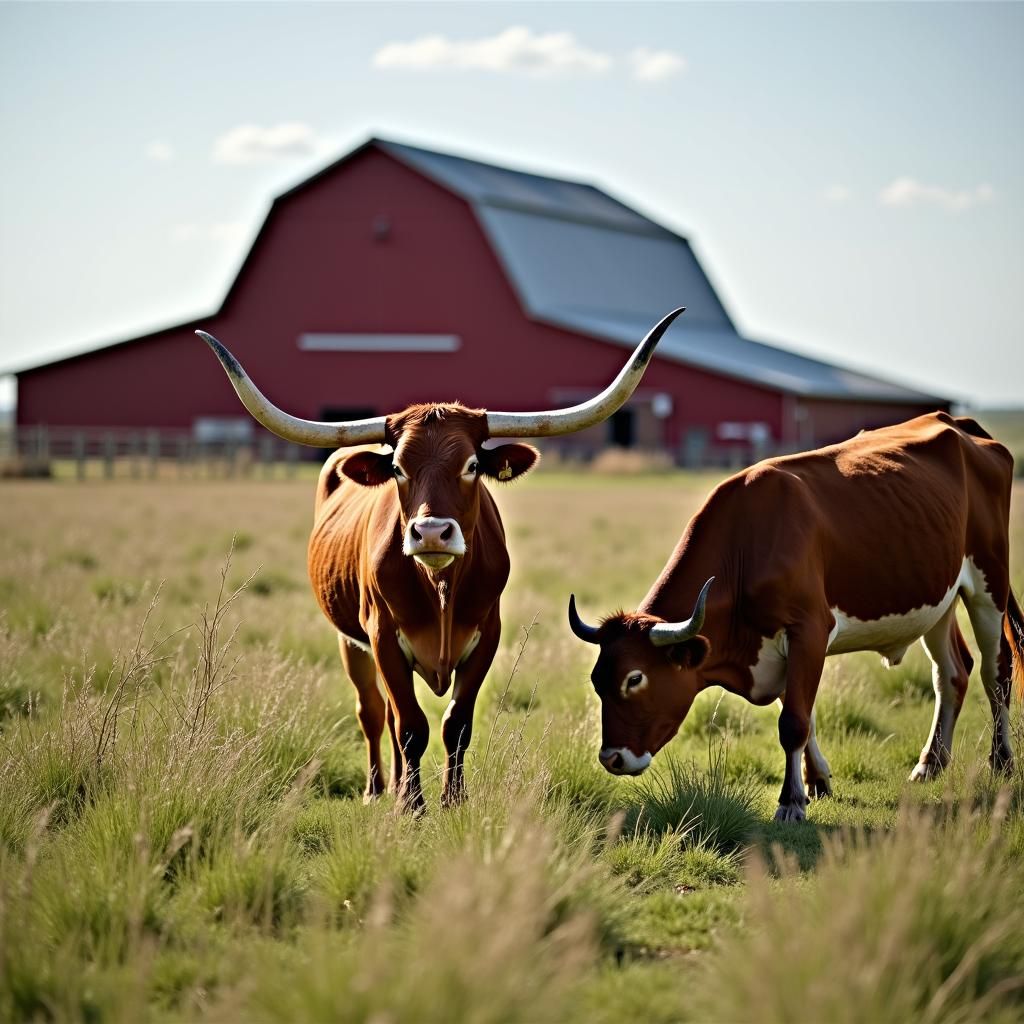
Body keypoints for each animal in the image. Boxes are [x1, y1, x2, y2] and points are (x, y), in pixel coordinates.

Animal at [197, 307, 684, 812]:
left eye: (471, 466)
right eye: (397, 467)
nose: (431, 532)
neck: (440, 589)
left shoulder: (486, 636)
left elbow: (457, 723)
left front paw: (453, 799)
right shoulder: (382, 638)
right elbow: (409, 726)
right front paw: (411, 806)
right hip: (351, 642)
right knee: (375, 713)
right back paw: (379, 789)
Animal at [568, 412, 1024, 822]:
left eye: (635, 678)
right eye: (596, 681)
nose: (612, 758)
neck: (745, 547)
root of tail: (958, 424)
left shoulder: (809, 630)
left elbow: (794, 721)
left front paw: (790, 802)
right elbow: (804, 710)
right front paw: (815, 781)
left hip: (989, 581)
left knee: (996, 671)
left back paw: (1001, 761)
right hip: (936, 598)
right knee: (952, 673)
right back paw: (930, 763)